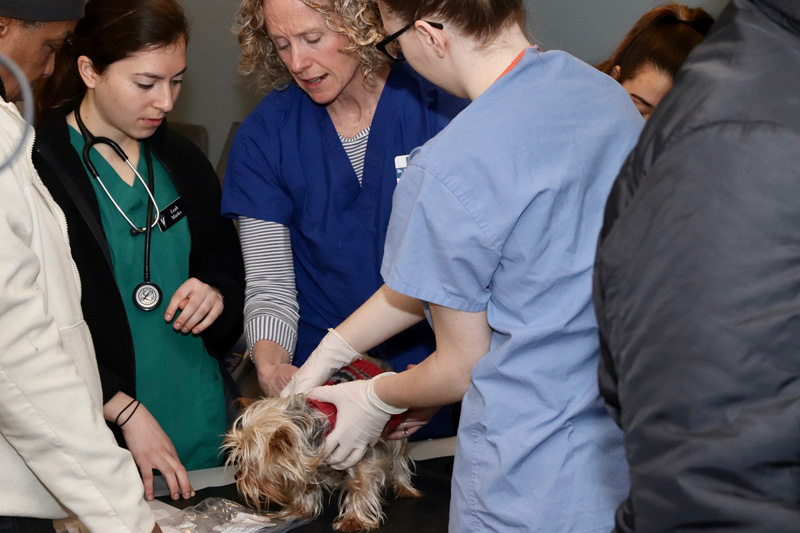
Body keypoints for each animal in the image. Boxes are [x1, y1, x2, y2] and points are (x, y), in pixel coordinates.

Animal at [219, 360, 418, 528]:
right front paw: (299, 511)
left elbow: (361, 484)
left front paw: (354, 520)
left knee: (399, 457)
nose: (237, 476)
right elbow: (304, 486)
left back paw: (404, 487)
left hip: (395, 426)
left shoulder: (360, 453)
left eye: (252, 464)